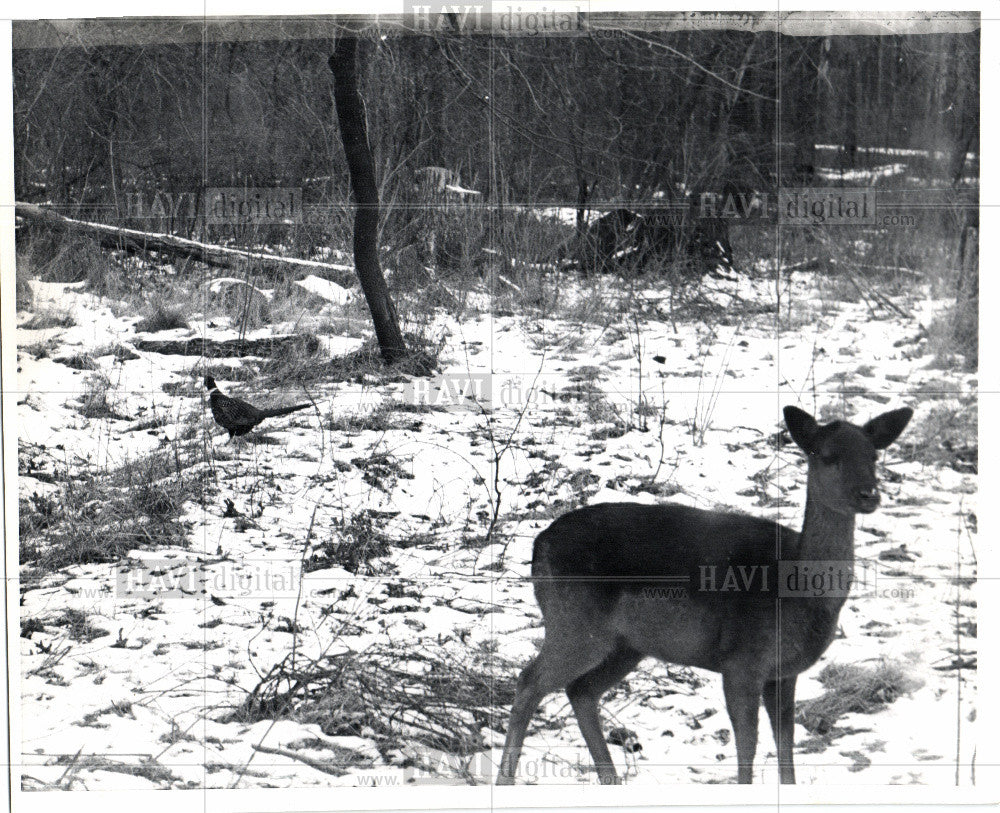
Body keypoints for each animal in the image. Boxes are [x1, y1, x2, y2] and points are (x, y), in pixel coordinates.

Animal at [496, 406, 912, 788]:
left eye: (874, 455)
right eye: (826, 455)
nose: (868, 494)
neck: (798, 592)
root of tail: (538, 546)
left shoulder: (784, 672)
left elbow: (786, 745)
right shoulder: (741, 661)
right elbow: (748, 745)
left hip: (626, 644)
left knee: (580, 690)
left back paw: (610, 781)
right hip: (575, 622)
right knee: (530, 680)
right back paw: (506, 781)